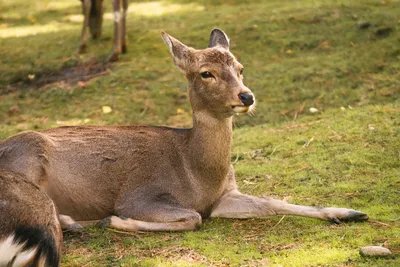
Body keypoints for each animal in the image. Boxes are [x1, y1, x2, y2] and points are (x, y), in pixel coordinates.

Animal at [0, 29, 368, 233]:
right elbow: (192, 217)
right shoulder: (138, 195)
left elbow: (270, 202)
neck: (197, 174)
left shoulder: (225, 196)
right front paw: (116, 222)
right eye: (206, 73)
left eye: (240, 68)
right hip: (25, 166)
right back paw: (76, 223)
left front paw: (347, 213)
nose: (246, 96)